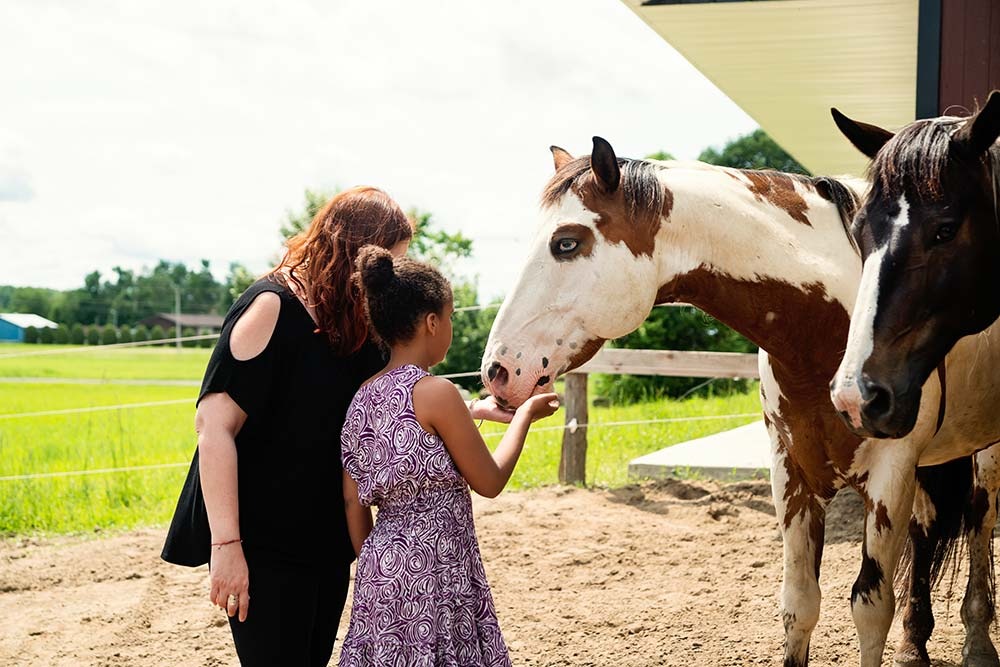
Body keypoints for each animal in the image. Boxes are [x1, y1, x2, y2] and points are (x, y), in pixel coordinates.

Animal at [484, 138, 1000, 664]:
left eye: (567, 242)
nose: (496, 370)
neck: (827, 328)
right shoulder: (791, 472)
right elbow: (799, 605)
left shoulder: (889, 473)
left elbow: (871, 607)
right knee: (928, 528)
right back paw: (914, 645)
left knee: (979, 519)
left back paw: (978, 641)